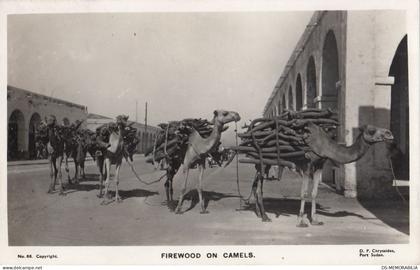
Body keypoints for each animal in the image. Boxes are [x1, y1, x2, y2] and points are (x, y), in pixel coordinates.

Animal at [248, 122, 392, 226]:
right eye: (371, 130)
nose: (389, 133)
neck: (326, 146)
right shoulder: (306, 165)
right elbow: (304, 193)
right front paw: (301, 221)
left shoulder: (319, 165)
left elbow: (314, 193)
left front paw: (315, 220)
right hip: (263, 161)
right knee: (259, 186)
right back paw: (265, 216)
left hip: (263, 163)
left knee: (255, 185)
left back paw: (260, 214)